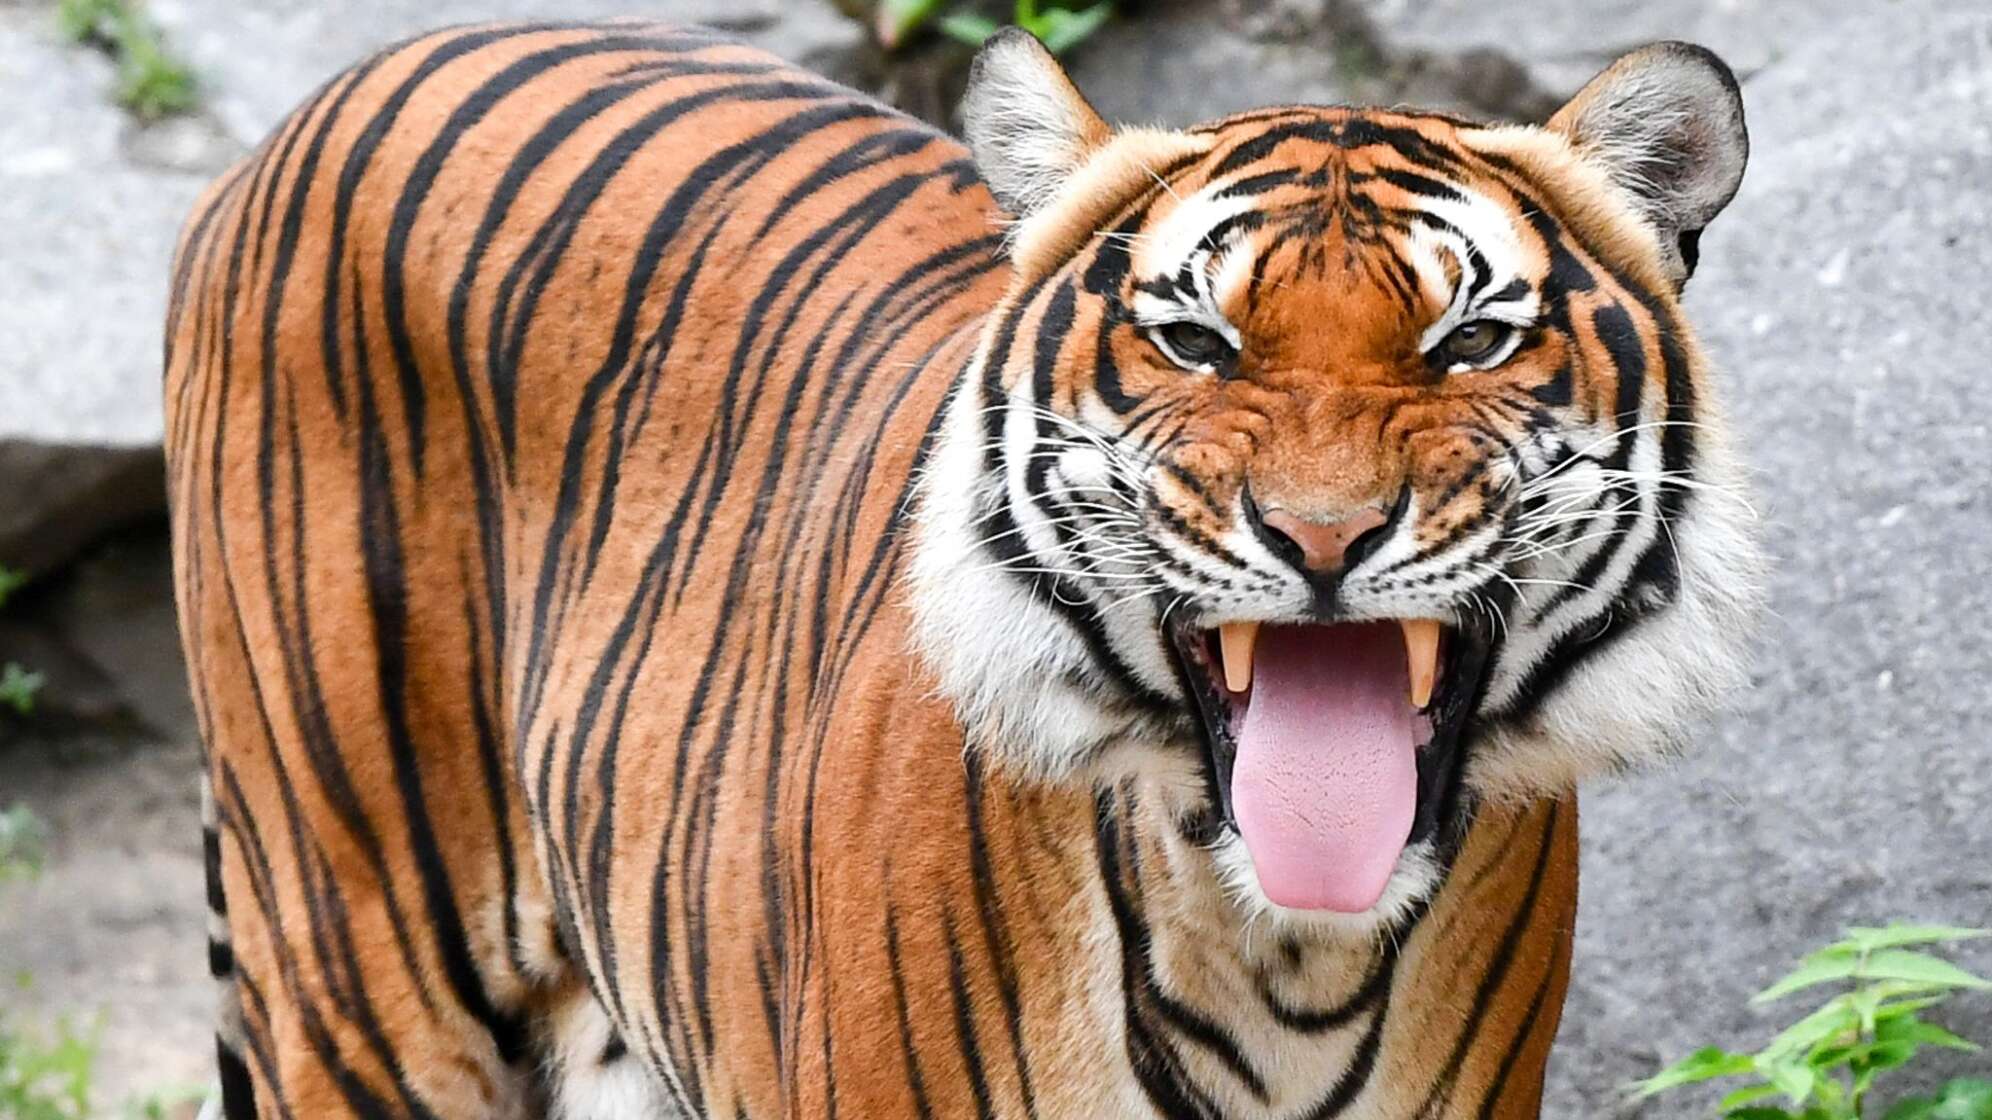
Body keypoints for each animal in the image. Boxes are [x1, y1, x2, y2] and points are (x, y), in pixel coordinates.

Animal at [163, 18, 1765, 1120]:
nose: (1321, 537)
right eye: (1195, 341)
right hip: (359, 967)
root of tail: (332, 97)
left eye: (1472, 342)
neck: (1286, 960)